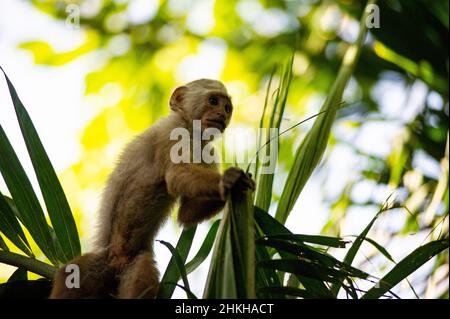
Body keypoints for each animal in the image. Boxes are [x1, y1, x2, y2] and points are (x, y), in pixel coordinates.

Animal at [49, 79, 255, 298]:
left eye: (227, 108)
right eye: (214, 101)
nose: (222, 114)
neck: (191, 130)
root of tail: (115, 263)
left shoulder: (207, 152)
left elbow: (186, 214)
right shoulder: (174, 133)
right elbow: (177, 176)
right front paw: (227, 181)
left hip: (129, 263)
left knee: (139, 274)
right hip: (102, 263)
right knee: (69, 275)